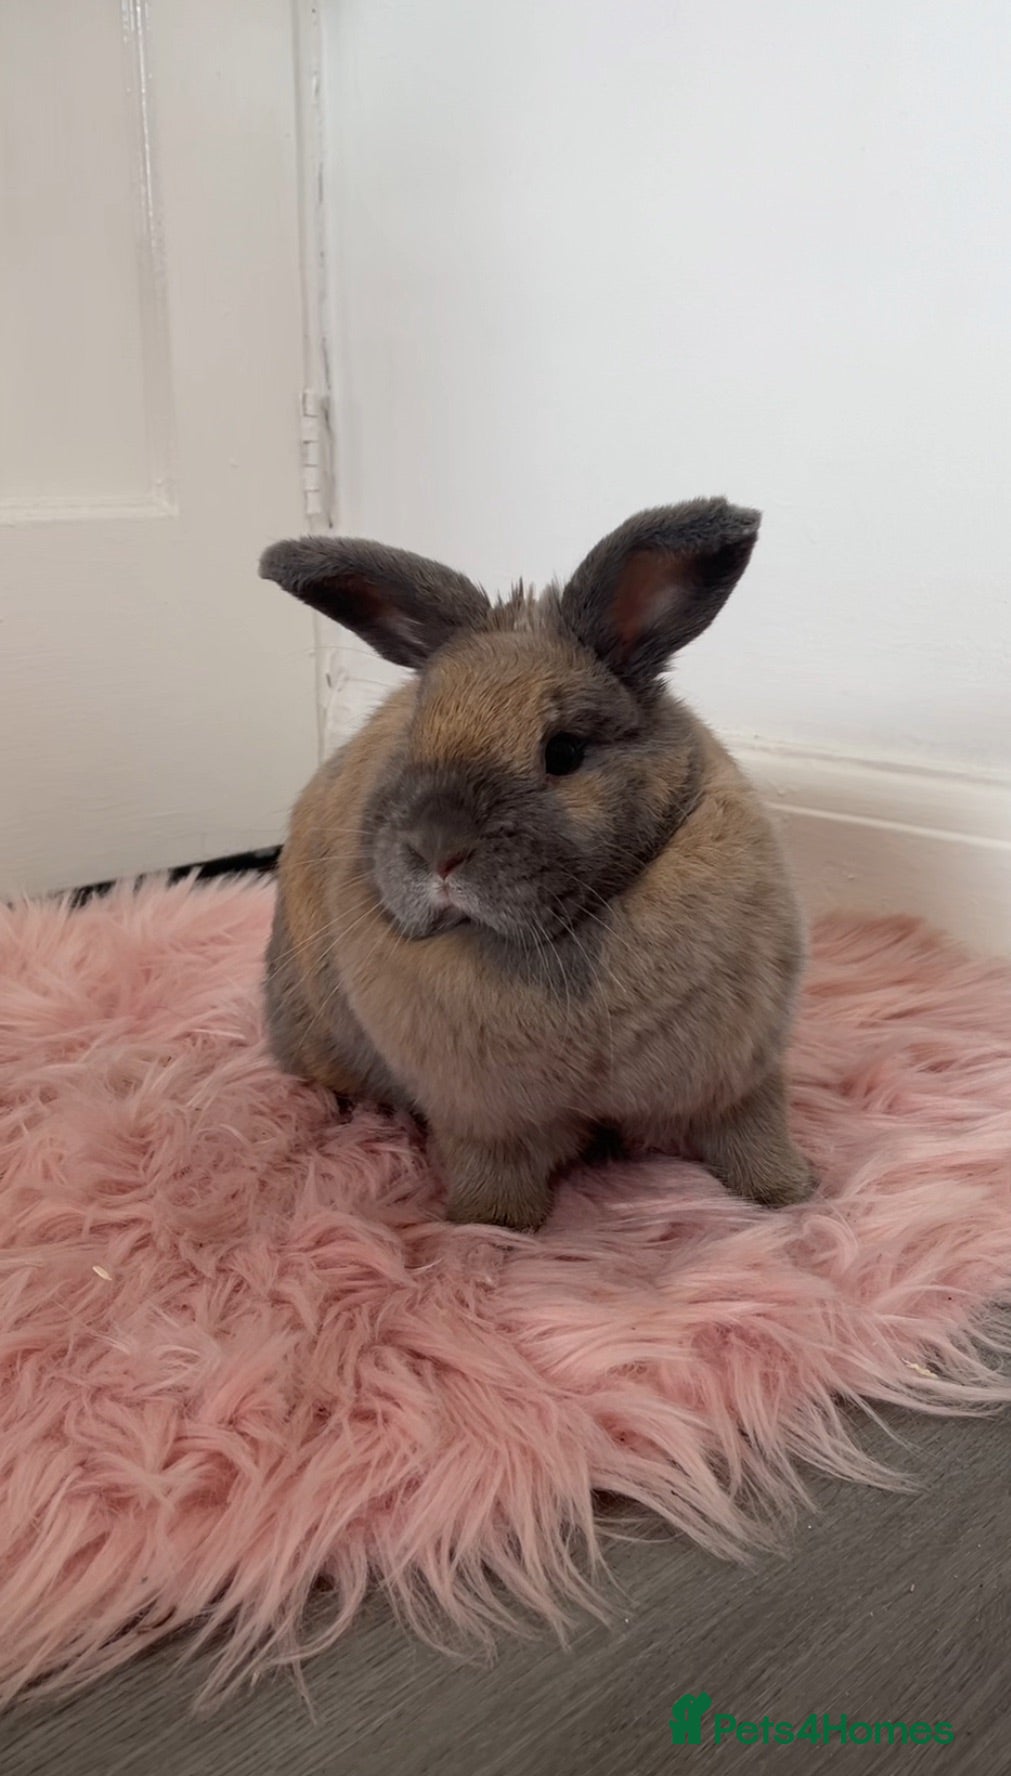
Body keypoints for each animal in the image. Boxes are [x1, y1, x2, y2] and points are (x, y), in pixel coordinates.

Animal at [258, 498, 816, 1231]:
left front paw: (792, 1196)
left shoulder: (737, 1079)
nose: (437, 850)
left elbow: (754, 1136)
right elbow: (493, 1175)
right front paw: (489, 1229)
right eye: (411, 739)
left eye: (565, 751)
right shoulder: (485, 1122)